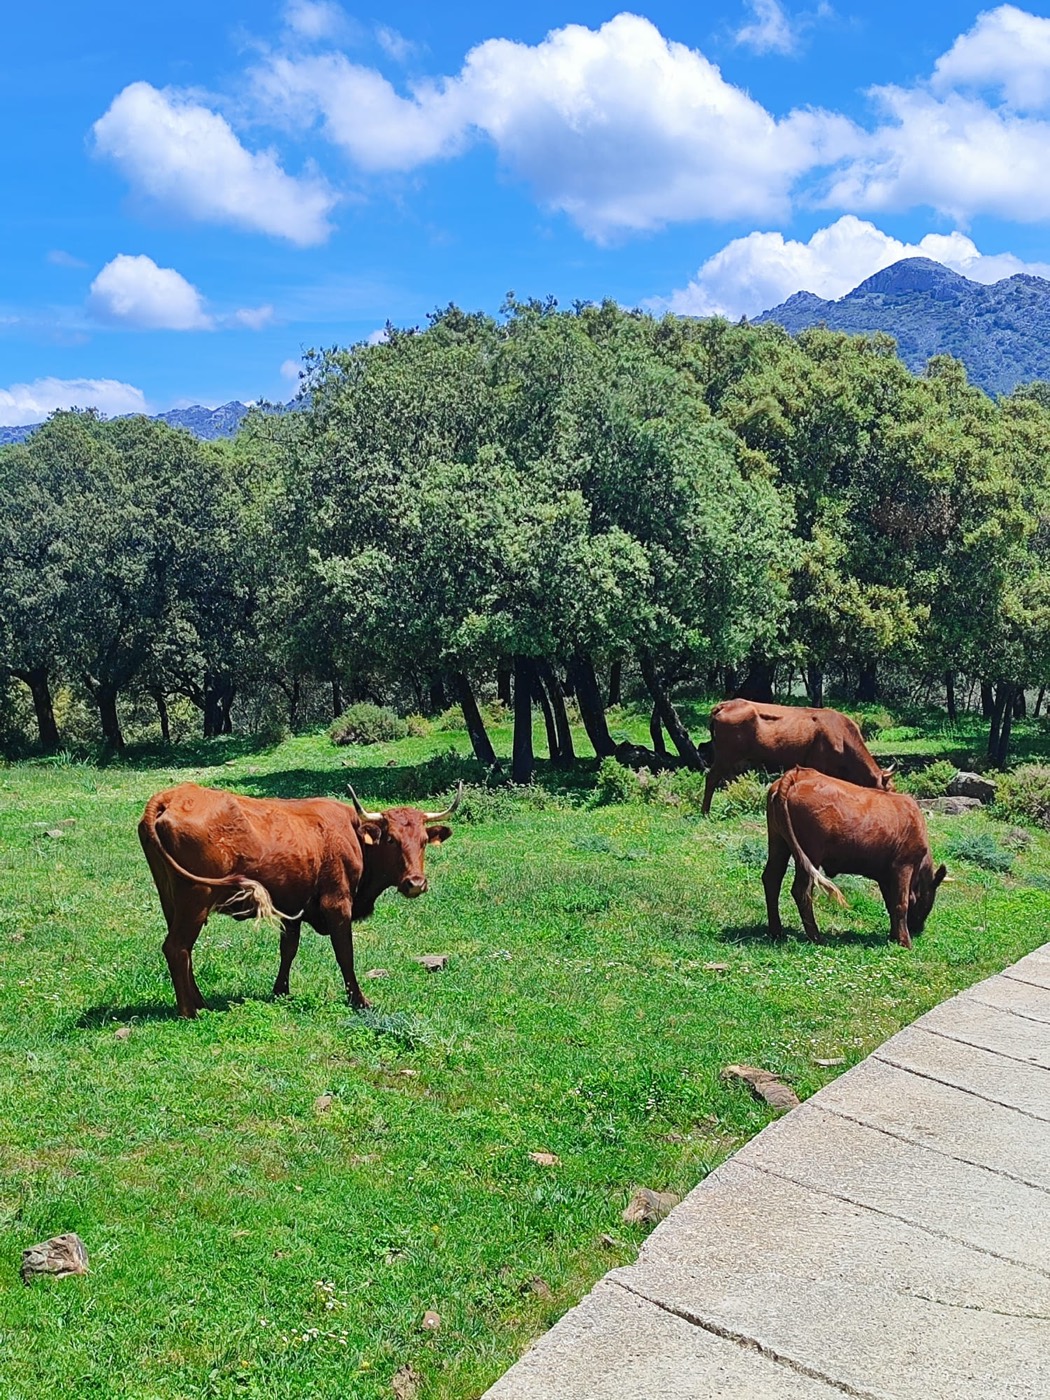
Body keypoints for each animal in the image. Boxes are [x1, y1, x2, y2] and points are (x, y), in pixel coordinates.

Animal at [138, 780, 459, 1017]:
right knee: (177, 948)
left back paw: (200, 1002)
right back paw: (189, 1011)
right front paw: (359, 1000)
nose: (415, 883)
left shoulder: (291, 907)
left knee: (184, 950)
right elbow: (345, 953)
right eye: (391, 839)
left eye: (423, 842)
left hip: (172, 899)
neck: (353, 836)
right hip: (195, 899)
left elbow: (288, 949)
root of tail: (172, 796)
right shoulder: (337, 904)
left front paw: (281, 991)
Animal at [701, 698, 893, 814]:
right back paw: (705, 812)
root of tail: (726, 704)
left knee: (729, 780)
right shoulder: (819, 766)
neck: (842, 736)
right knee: (712, 778)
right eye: (888, 791)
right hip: (725, 756)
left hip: (732, 759)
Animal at [763, 767, 947, 948]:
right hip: (810, 853)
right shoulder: (903, 865)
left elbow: (891, 903)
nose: (918, 930)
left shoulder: (886, 875)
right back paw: (816, 937)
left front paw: (893, 936)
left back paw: (776, 932)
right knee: (801, 890)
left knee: (771, 879)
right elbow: (901, 903)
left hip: (778, 843)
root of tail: (798, 773)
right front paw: (905, 942)